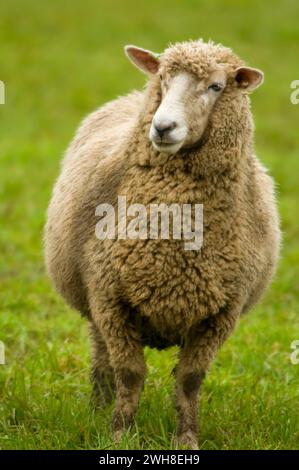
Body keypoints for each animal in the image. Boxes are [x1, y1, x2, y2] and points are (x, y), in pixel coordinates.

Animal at [44, 40, 282, 448]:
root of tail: (129, 96)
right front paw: (120, 434)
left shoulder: (222, 312)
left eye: (216, 86)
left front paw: (186, 438)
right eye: (164, 78)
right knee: (102, 357)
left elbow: (189, 381)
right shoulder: (110, 298)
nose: (162, 126)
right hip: (96, 304)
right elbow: (129, 373)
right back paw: (97, 409)